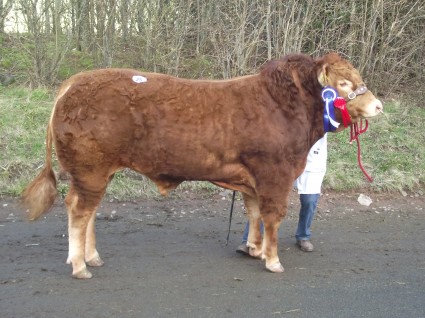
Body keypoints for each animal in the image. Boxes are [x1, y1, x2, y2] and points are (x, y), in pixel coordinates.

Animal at [22, 52, 380, 278]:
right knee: (79, 210)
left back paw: (91, 257)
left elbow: (253, 213)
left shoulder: (253, 178)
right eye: (344, 84)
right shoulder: (275, 174)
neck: (285, 106)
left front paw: (254, 248)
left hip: (98, 171)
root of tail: (75, 81)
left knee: (88, 211)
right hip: (90, 170)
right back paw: (79, 265)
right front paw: (273, 259)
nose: (377, 105)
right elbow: (273, 216)